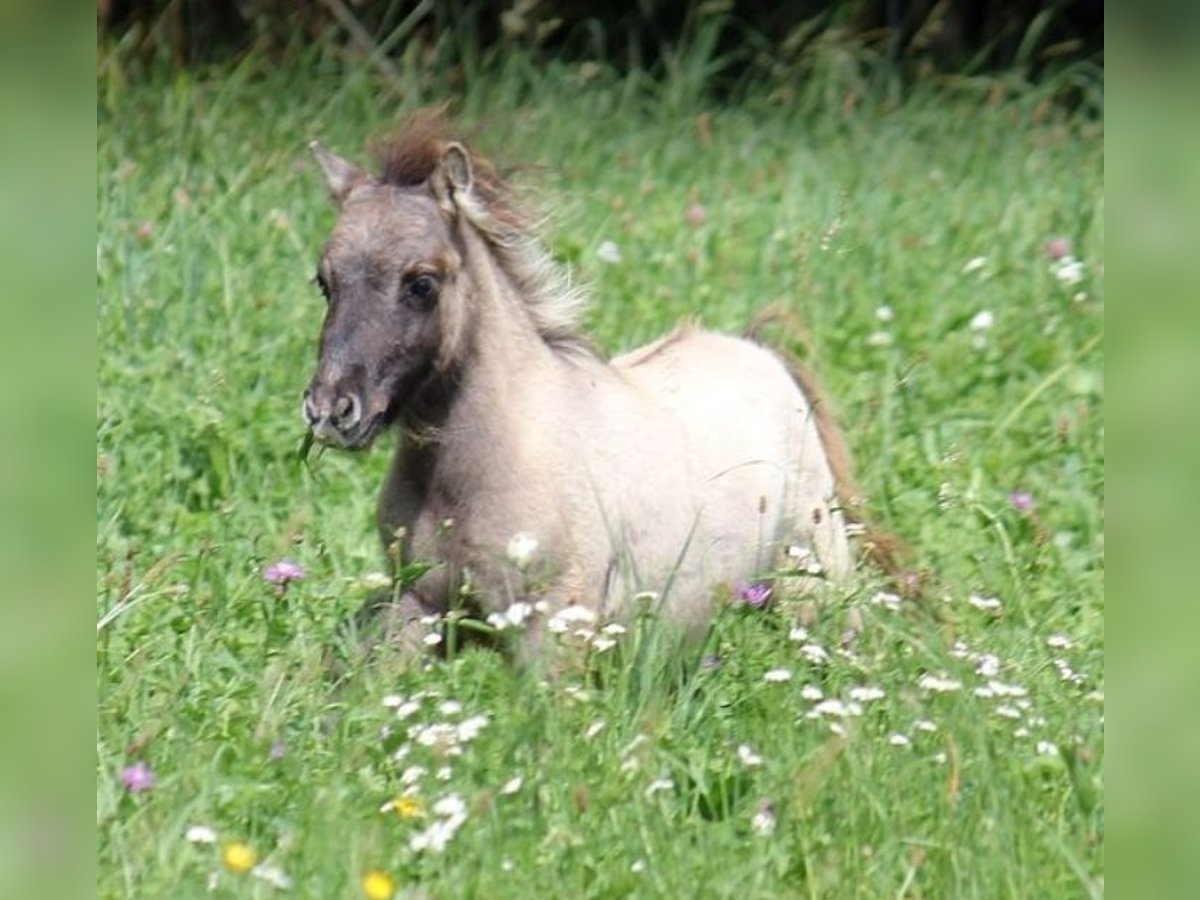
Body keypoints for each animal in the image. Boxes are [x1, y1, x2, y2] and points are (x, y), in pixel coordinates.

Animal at [304, 111, 888, 662]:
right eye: (324, 281)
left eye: (422, 283)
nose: (331, 410)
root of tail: (761, 353)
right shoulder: (418, 607)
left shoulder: (553, 630)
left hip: (816, 593)